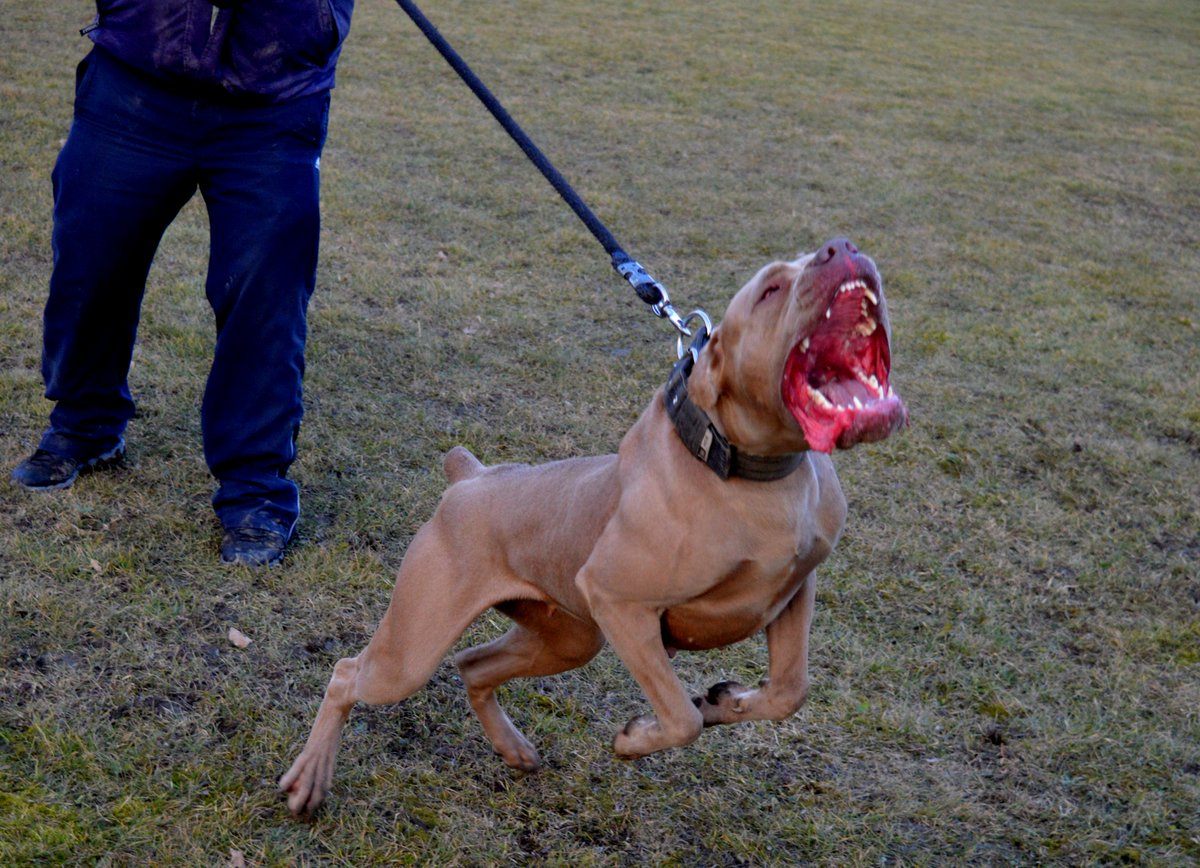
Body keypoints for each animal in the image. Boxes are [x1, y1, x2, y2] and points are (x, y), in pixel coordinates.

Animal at [276, 237, 902, 816]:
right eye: (771, 290)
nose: (842, 248)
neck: (752, 474)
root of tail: (470, 478)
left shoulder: (794, 590)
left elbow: (790, 690)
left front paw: (726, 703)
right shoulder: (622, 606)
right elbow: (680, 717)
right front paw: (636, 739)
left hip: (568, 639)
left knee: (473, 666)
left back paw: (513, 749)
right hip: (411, 653)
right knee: (347, 674)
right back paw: (309, 779)